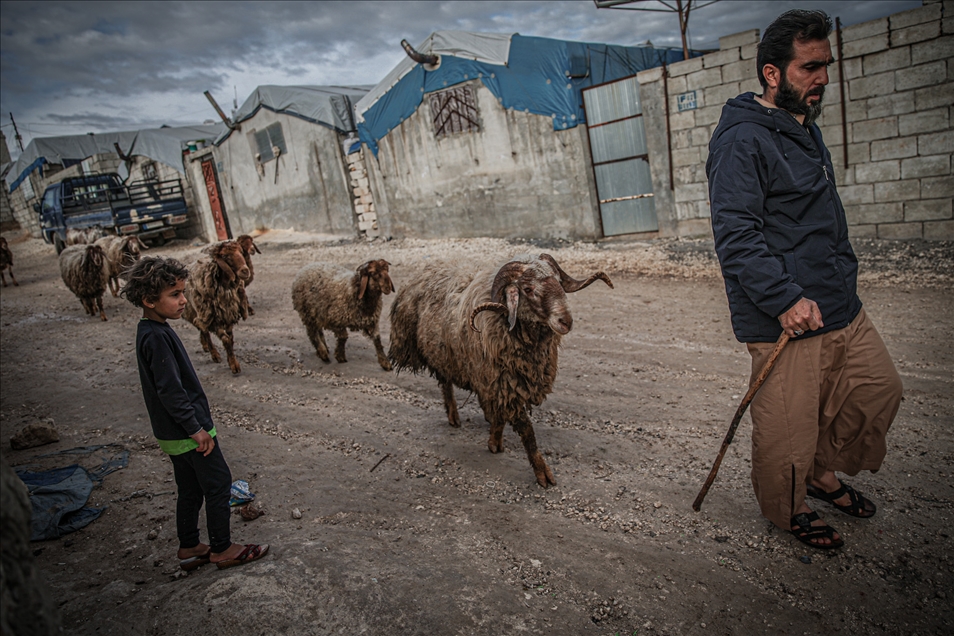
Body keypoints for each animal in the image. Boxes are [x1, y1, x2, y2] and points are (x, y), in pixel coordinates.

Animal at [181, 241, 251, 376]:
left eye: (241, 252)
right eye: (225, 256)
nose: (245, 271)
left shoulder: (228, 316)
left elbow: (231, 339)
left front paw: (231, 360)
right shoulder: (215, 320)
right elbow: (226, 340)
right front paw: (234, 366)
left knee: (200, 326)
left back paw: (205, 345)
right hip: (201, 310)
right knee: (204, 330)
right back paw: (214, 354)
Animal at [390, 253, 612, 486]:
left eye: (559, 282)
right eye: (528, 289)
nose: (566, 321)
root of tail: (429, 269)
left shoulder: (501, 381)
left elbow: (500, 417)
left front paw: (494, 440)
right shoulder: (504, 383)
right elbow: (527, 431)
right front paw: (542, 473)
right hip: (441, 354)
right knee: (445, 384)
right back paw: (453, 416)